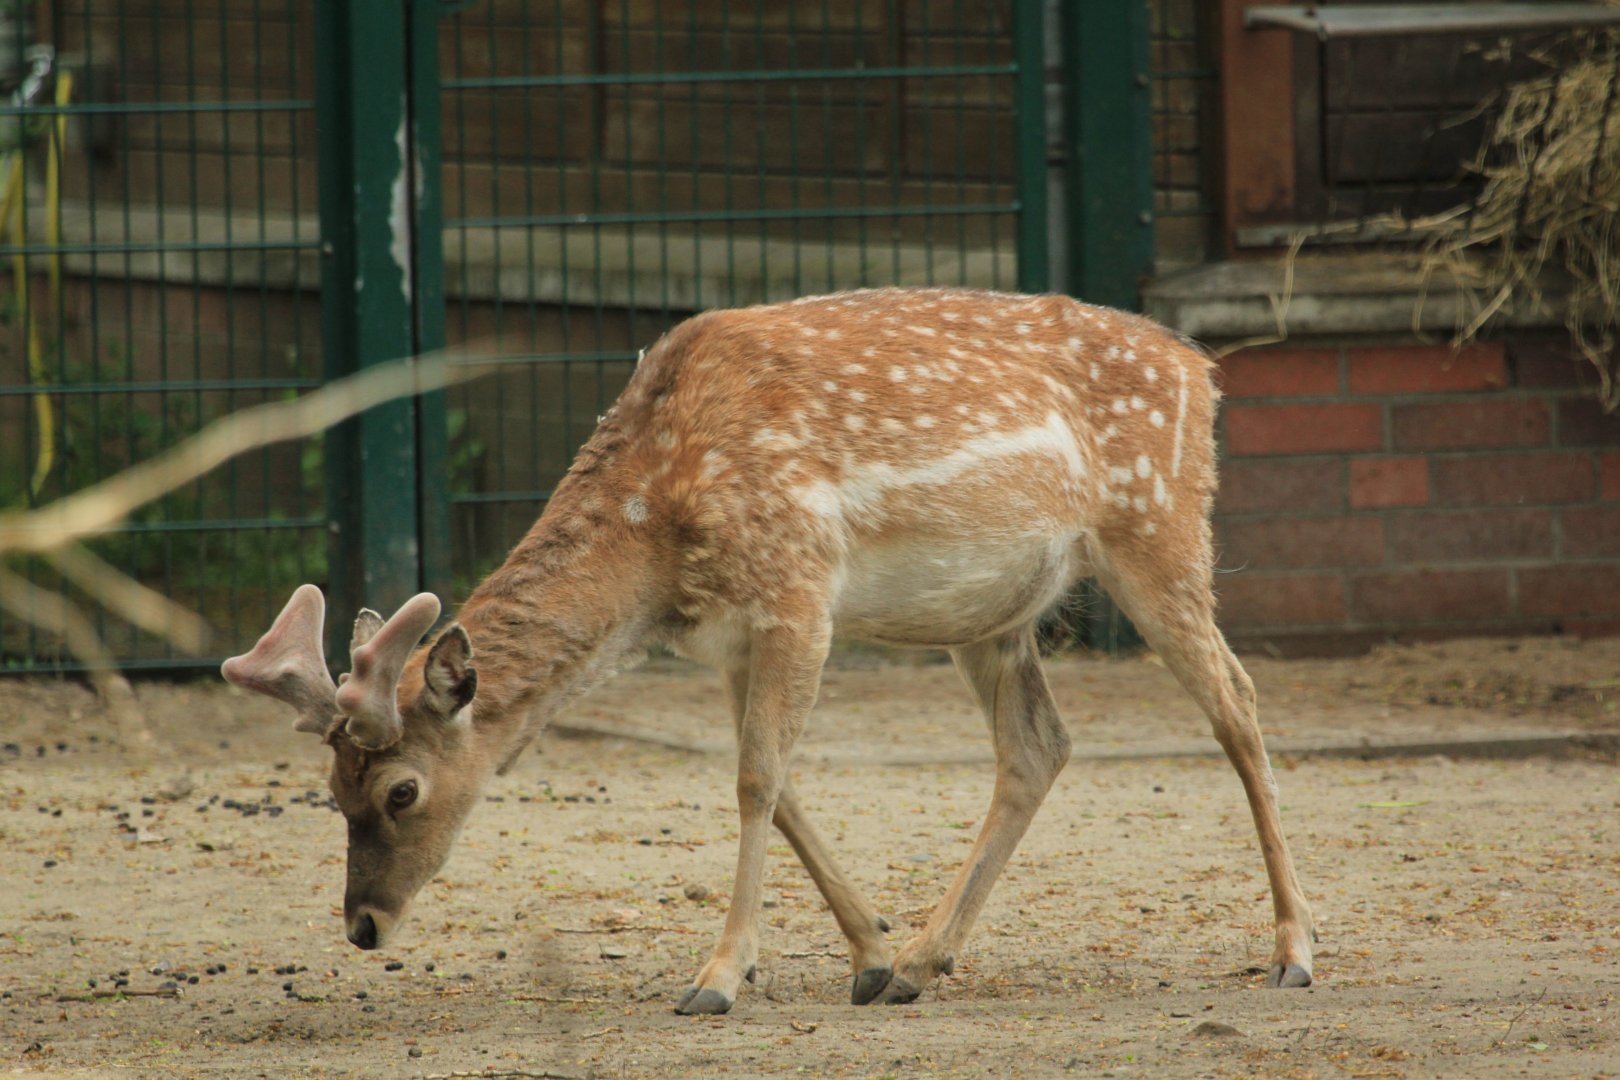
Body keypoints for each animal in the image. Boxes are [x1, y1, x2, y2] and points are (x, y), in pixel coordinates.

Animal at [222, 287, 1315, 1015]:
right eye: (330, 791)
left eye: (400, 790)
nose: (363, 925)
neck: (660, 536)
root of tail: (1203, 370)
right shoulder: (732, 639)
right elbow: (777, 785)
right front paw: (868, 954)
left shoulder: (798, 590)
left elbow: (753, 781)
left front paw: (715, 978)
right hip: (991, 614)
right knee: (1039, 747)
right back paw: (923, 961)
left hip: (1157, 528)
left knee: (1239, 702)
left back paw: (1294, 950)